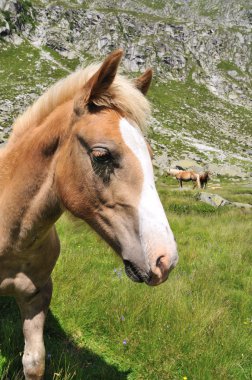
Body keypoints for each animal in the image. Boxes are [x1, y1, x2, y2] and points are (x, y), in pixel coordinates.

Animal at [0, 50, 178, 380]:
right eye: (101, 155)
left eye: (150, 154)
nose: (165, 260)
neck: (13, 237)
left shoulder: (37, 294)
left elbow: (34, 362)